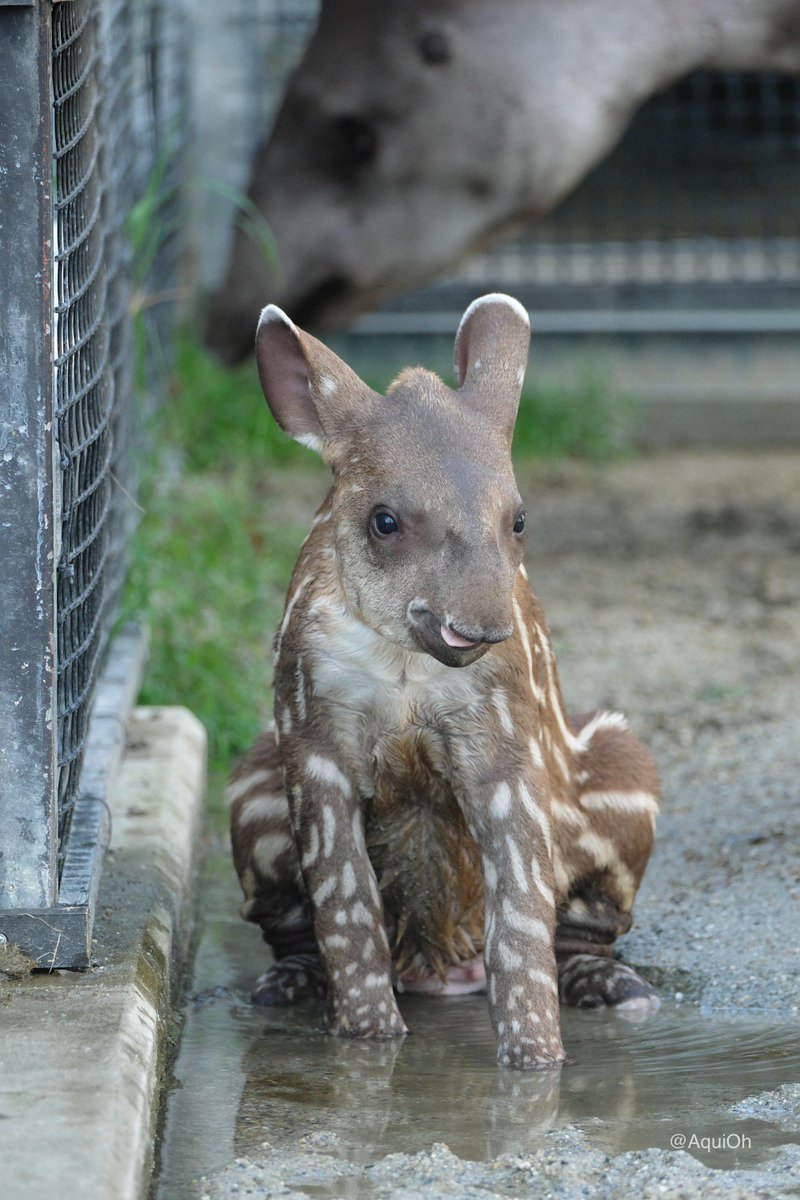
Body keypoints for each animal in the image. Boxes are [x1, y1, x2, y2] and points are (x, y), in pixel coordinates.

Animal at [230, 292, 657, 1070]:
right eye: (385, 520)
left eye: (518, 518)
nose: (481, 626)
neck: (407, 668)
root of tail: (439, 974)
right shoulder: (313, 734)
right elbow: (345, 908)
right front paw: (368, 1049)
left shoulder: (501, 731)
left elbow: (520, 916)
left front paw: (538, 1065)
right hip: (252, 783)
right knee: (291, 927)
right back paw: (286, 986)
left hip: (624, 772)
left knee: (584, 926)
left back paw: (618, 989)